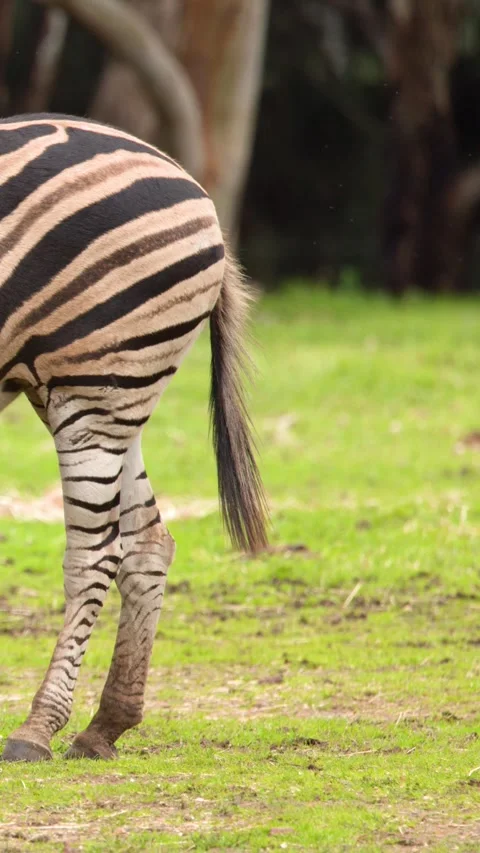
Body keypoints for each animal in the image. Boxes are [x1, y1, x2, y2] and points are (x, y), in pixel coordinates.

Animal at [0, 113, 268, 762]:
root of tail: (188, 183)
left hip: (95, 385)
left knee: (94, 554)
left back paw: (37, 729)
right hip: (112, 393)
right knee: (148, 541)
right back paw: (106, 724)